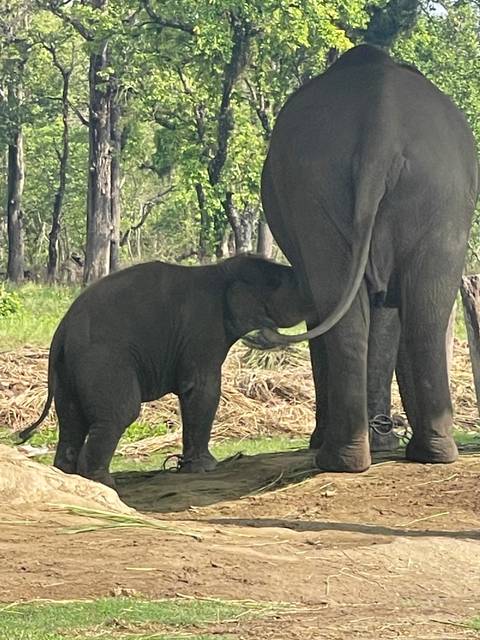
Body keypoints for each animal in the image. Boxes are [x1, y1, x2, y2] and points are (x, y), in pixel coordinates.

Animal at [16, 255, 311, 487]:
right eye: (287, 284)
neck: (221, 270)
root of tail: (62, 332)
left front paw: (190, 467)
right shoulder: (203, 331)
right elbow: (203, 390)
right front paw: (206, 468)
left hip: (67, 371)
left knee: (71, 421)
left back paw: (68, 476)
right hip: (103, 361)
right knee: (120, 412)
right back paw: (102, 482)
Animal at [249, 44, 479, 472]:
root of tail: (381, 125)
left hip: (327, 192)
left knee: (352, 311)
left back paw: (341, 456)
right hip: (437, 193)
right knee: (425, 310)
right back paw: (426, 453)